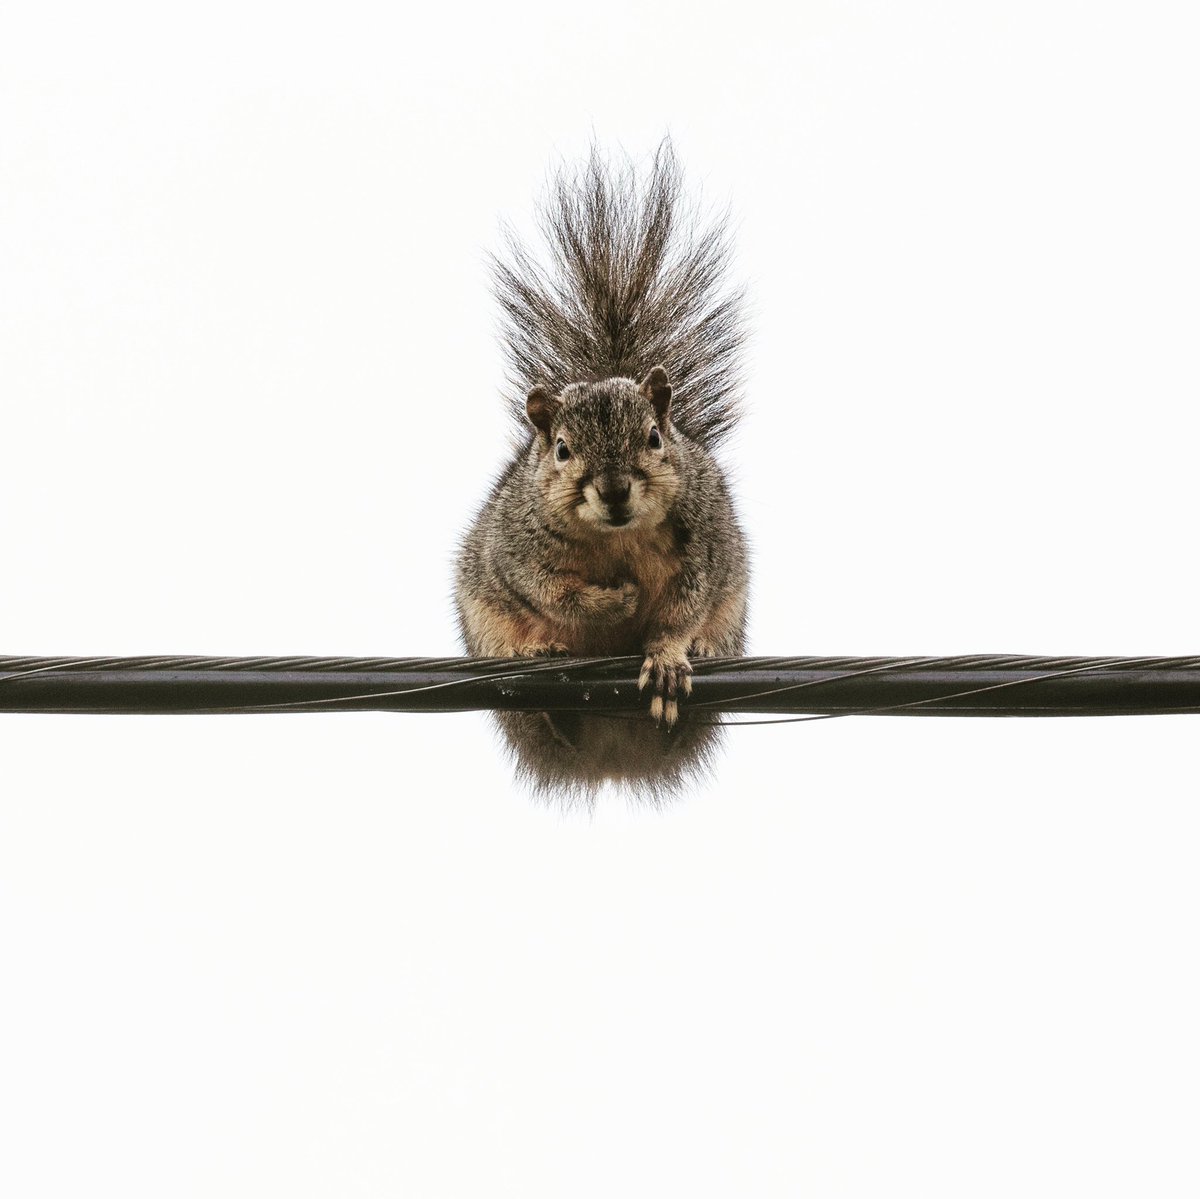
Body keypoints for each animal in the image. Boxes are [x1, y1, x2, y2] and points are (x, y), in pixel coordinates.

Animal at [455, 142, 749, 802]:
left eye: (655, 438)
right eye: (562, 450)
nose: (614, 491)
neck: (617, 538)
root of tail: (613, 762)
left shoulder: (703, 540)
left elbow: (684, 603)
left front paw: (666, 656)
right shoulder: (515, 546)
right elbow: (549, 590)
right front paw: (613, 602)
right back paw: (548, 684)